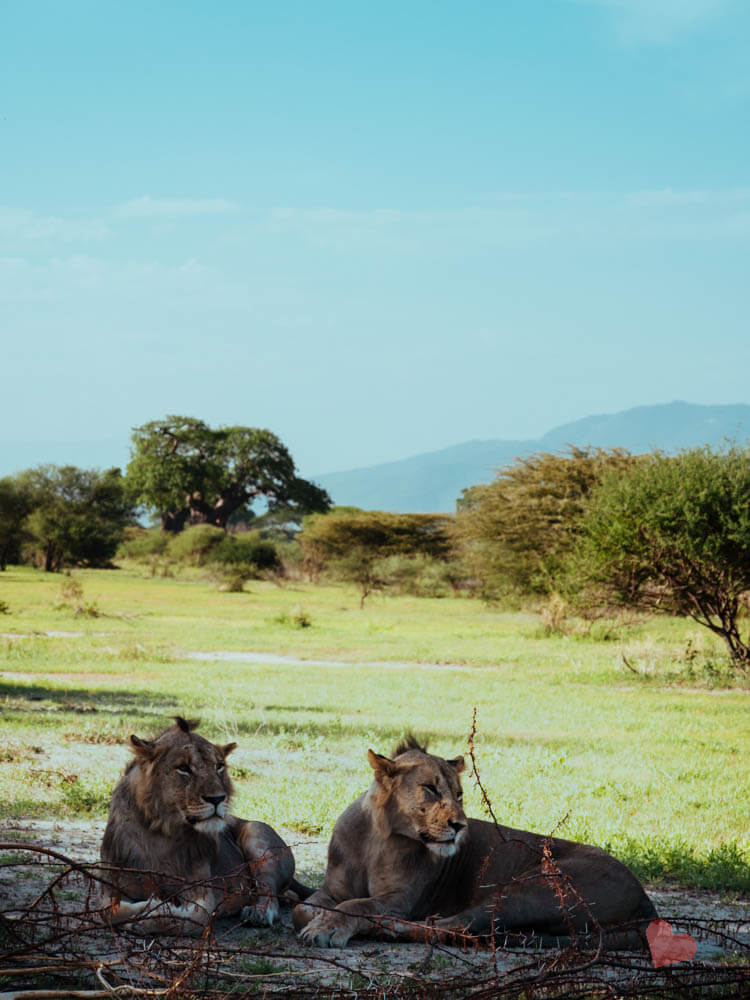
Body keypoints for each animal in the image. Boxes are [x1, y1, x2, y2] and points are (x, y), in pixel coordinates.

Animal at [100, 716, 308, 932]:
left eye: (219, 766)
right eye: (184, 768)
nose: (217, 798)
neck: (162, 833)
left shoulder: (203, 893)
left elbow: (190, 918)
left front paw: (149, 914)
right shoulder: (110, 888)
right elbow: (109, 912)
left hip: (257, 836)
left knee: (269, 893)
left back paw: (257, 913)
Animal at [294, 740, 656, 948]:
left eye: (458, 794)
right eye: (430, 789)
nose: (460, 826)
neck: (378, 839)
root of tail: (645, 900)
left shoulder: (401, 900)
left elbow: (358, 905)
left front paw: (328, 927)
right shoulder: (333, 889)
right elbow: (304, 907)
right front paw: (318, 917)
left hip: (527, 889)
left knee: (455, 927)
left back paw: (385, 929)